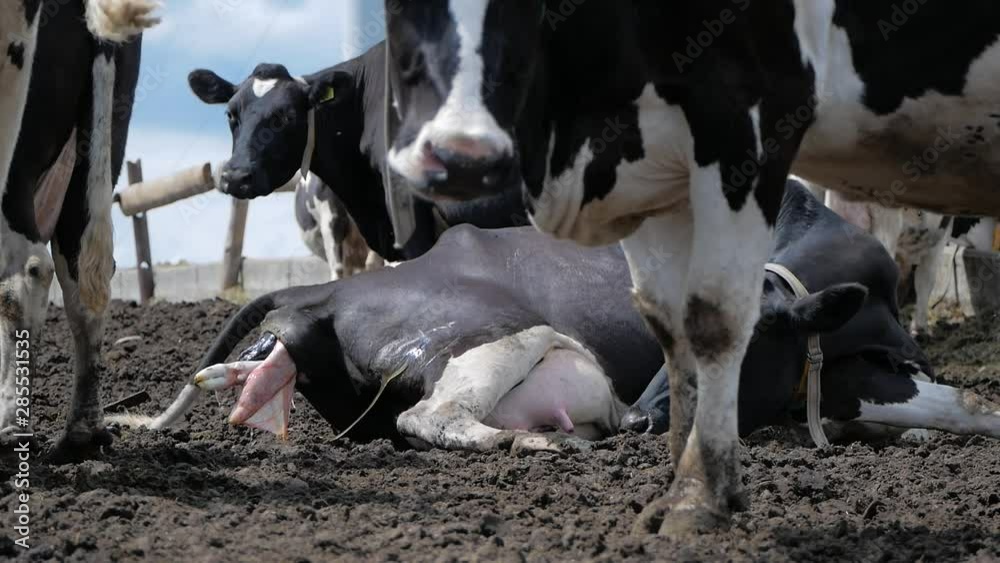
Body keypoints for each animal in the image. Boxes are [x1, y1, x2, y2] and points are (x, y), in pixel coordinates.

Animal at [114, 181, 1000, 453]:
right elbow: (973, 402)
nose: (643, 419)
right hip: (502, 336)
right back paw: (537, 440)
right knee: (431, 416)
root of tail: (320, 297)